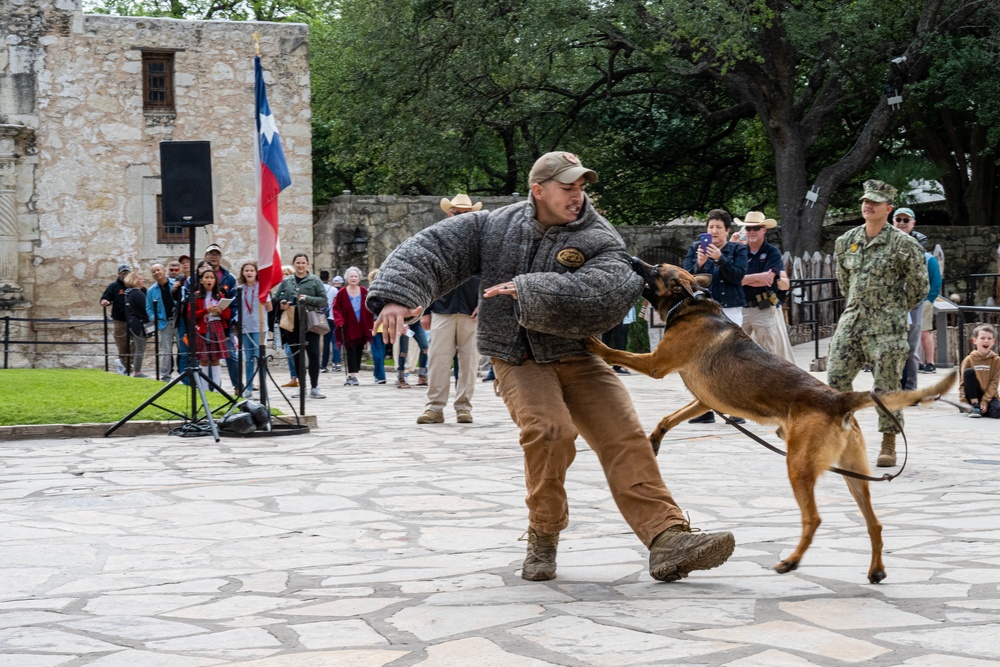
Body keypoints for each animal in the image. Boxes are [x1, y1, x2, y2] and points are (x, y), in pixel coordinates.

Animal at [588, 260, 956, 584]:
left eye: (654, 269)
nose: (632, 258)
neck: (690, 304)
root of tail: (838, 400)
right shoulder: (703, 401)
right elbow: (668, 417)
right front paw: (654, 439)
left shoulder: (655, 364)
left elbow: (617, 354)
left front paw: (594, 342)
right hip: (854, 475)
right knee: (874, 524)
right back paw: (876, 570)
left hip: (798, 467)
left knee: (814, 519)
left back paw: (791, 561)